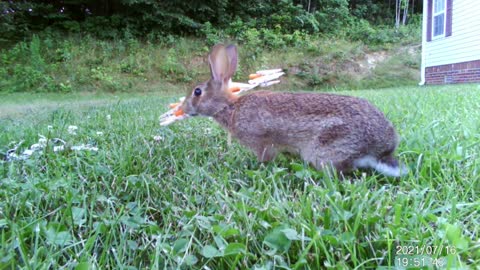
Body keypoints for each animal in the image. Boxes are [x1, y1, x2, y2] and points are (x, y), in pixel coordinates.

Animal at [180, 43, 404, 176]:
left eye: (197, 92)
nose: (183, 108)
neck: (230, 106)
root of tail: (380, 151)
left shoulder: (261, 142)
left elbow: (265, 157)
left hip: (329, 146)